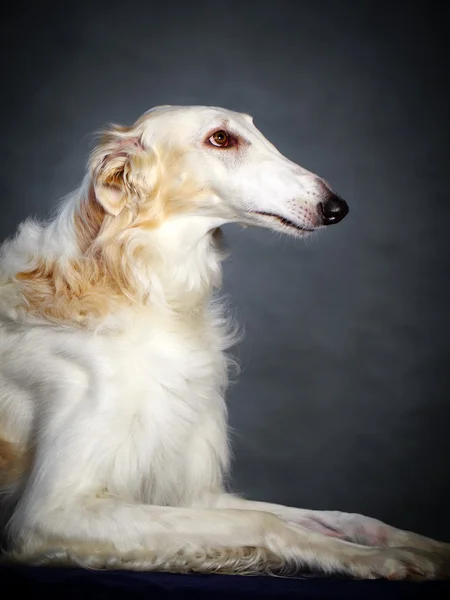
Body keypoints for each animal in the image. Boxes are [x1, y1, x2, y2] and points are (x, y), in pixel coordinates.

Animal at [0, 105, 448, 580]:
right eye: (220, 139)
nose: (336, 207)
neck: (145, 290)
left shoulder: (194, 495)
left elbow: (342, 518)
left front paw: (418, 545)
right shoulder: (53, 511)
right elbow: (265, 521)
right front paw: (377, 559)